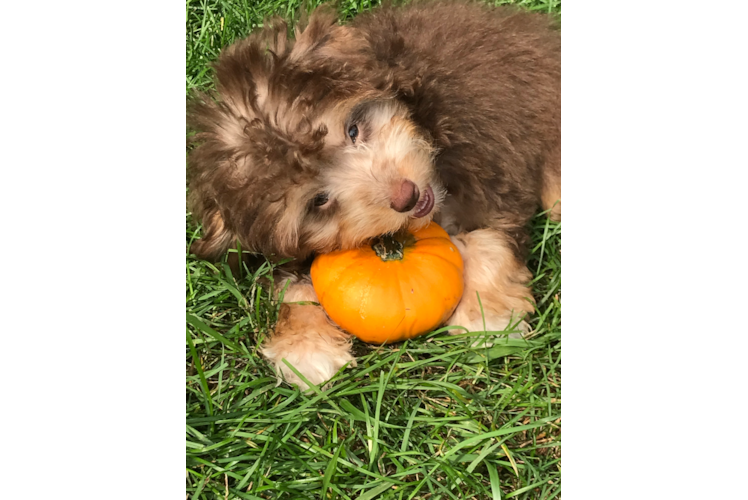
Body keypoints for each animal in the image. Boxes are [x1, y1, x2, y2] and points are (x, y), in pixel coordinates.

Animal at [187, 0, 560, 388]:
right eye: (319, 200)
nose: (406, 196)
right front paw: (305, 347)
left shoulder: (490, 168)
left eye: (353, 130)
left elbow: (488, 240)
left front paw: (486, 317)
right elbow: (291, 286)